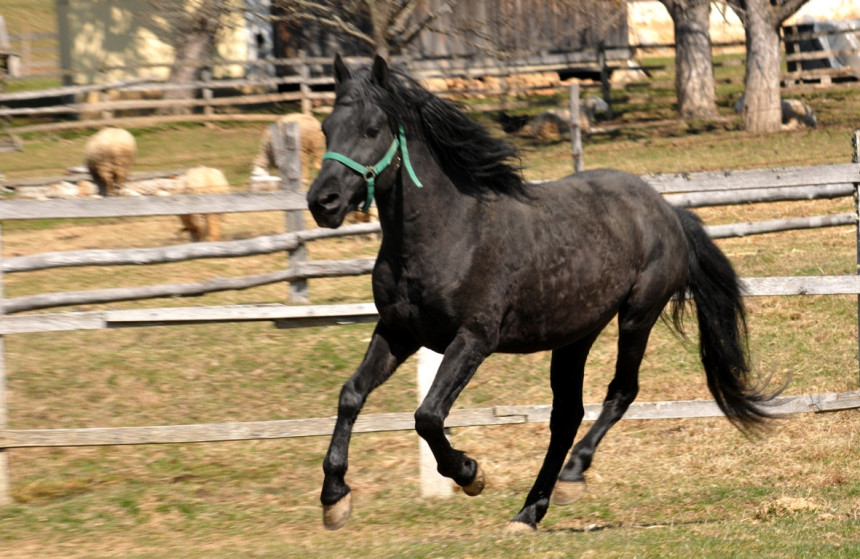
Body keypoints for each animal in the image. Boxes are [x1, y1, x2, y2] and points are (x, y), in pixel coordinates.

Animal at [304, 55, 772, 532]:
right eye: (326, 127)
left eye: (372, 129)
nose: (323, 202)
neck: (448, 232)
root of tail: (668, 211)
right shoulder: (399, 331)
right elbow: (351, 396)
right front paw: (334, 498)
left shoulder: (474, 338)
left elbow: (428, 416)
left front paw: (470, 473)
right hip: (575, 335)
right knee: (566, 415)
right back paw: (529, 511)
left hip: (637, 315)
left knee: (620, 392)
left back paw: (571, 477)